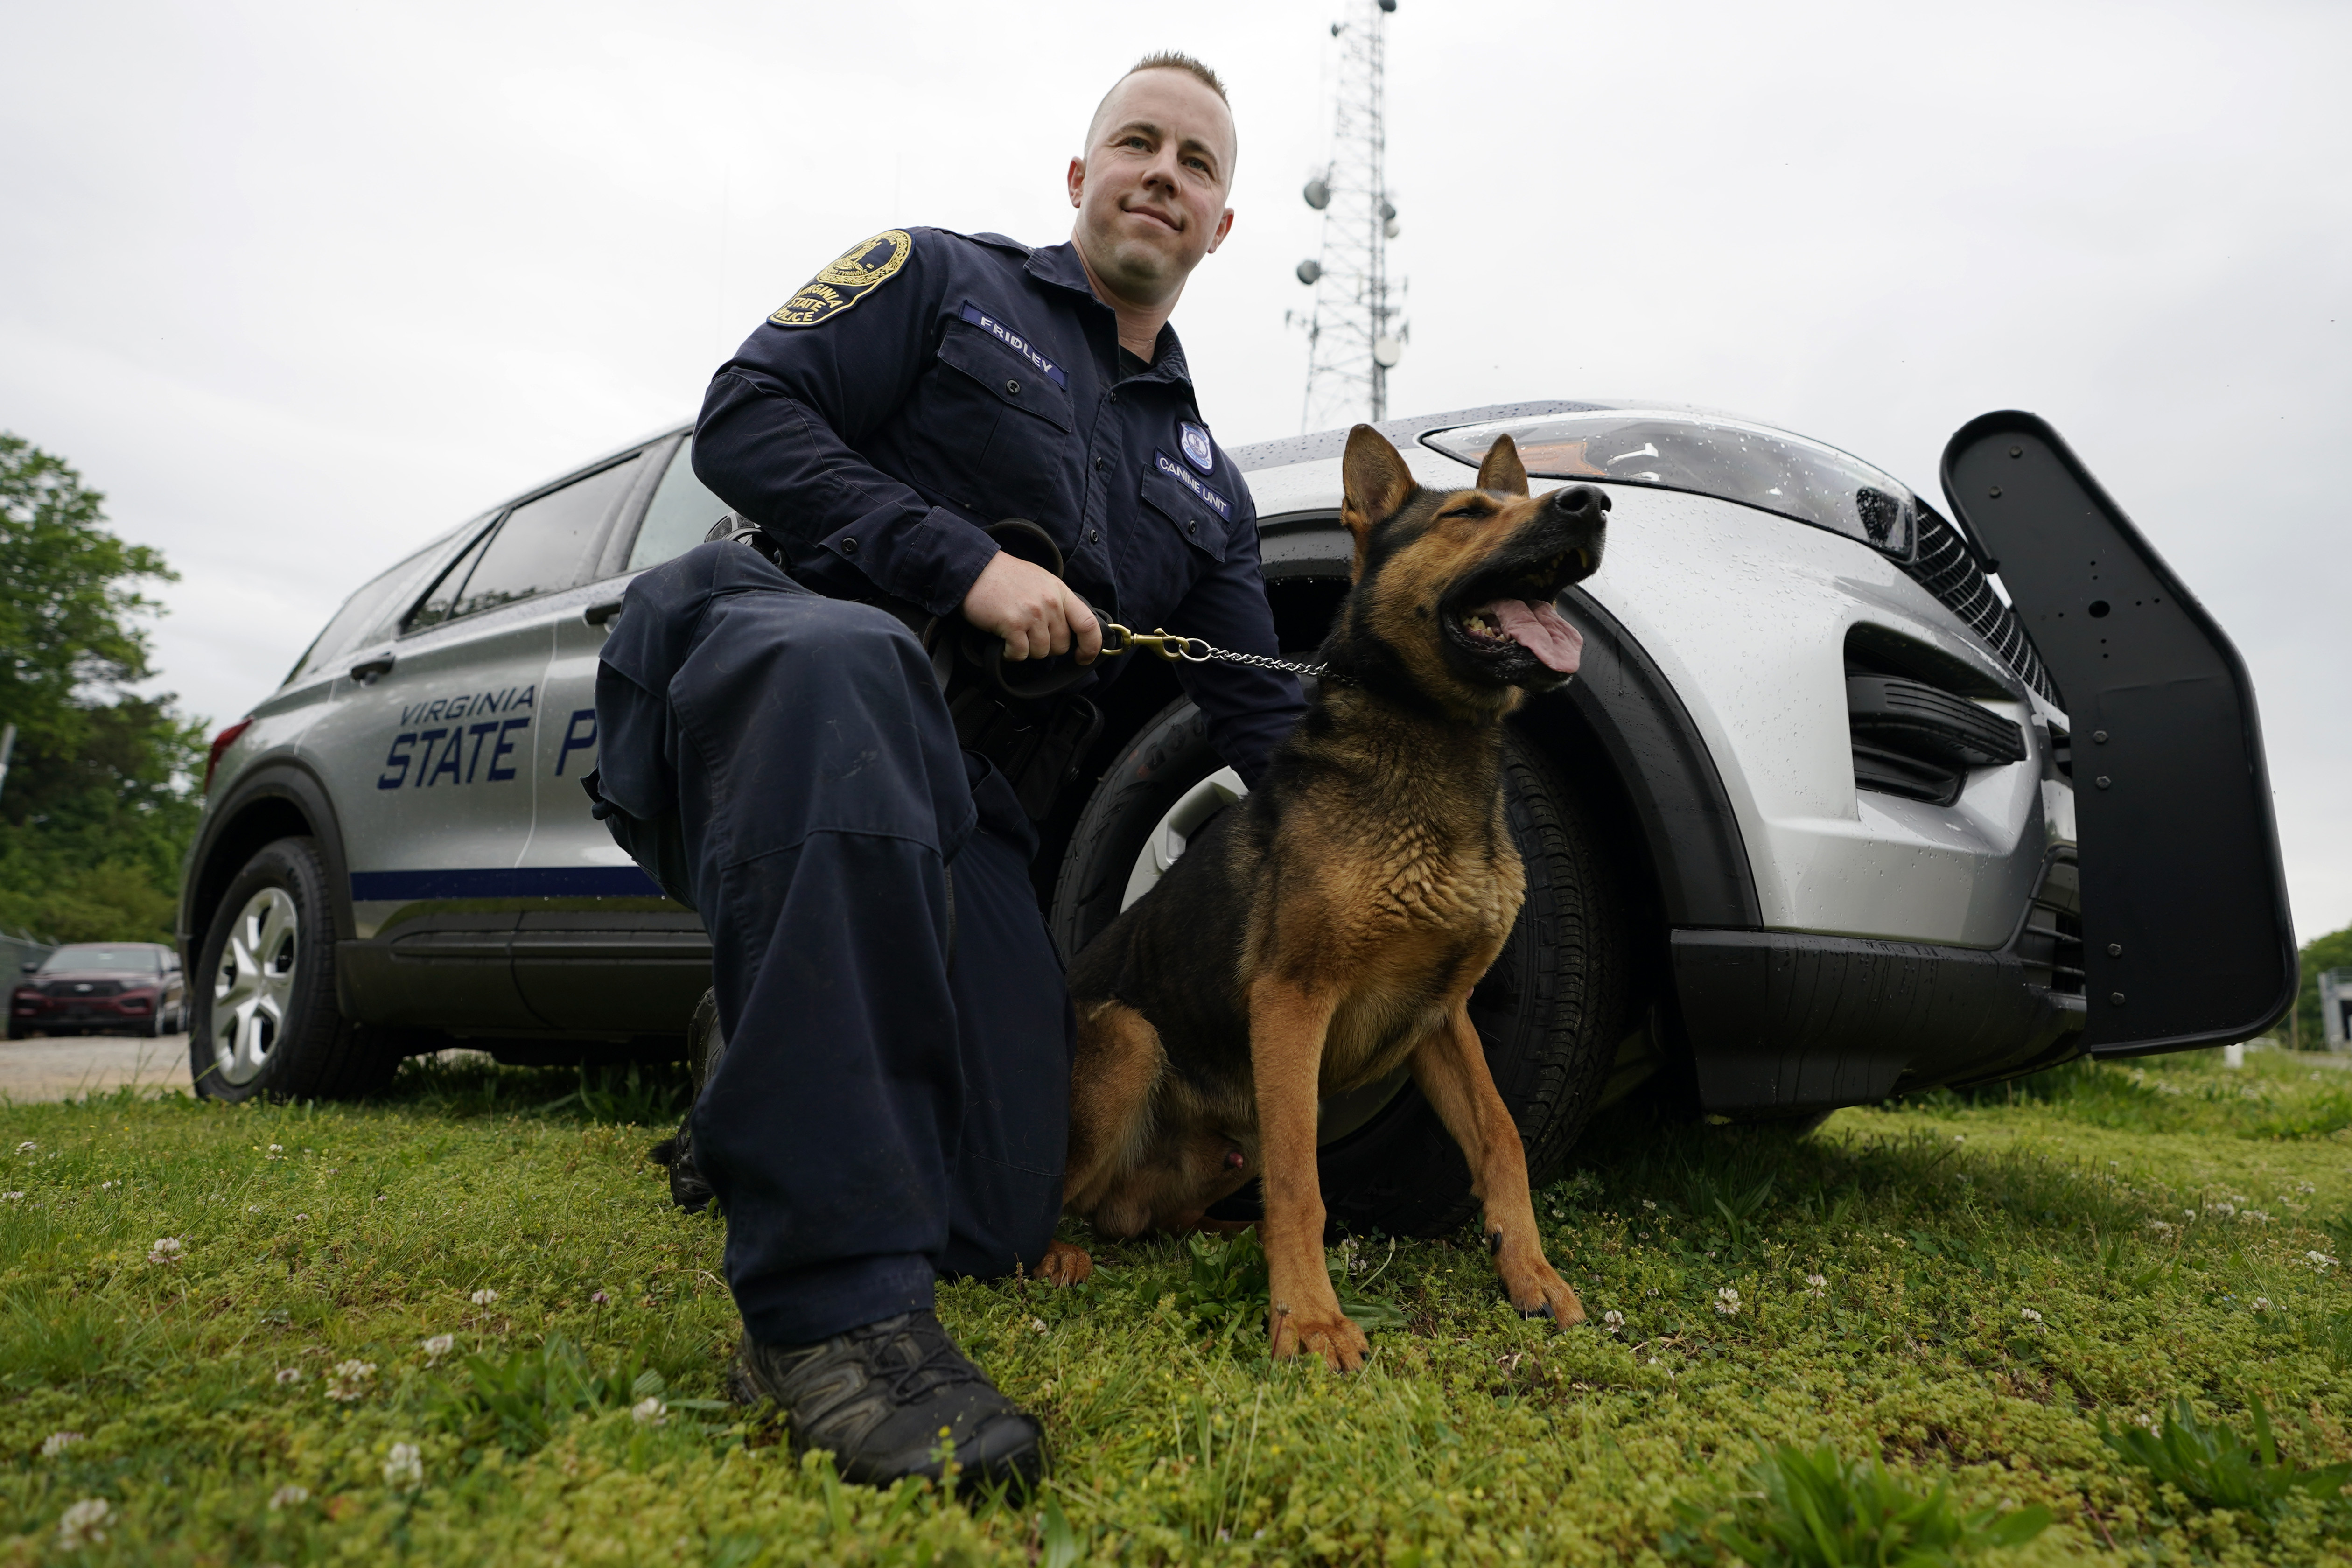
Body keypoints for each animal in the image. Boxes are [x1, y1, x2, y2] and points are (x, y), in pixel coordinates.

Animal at [1039, 423, 1609, 1363]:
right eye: (1466, 515)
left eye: (1512, 501)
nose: (1592, 503)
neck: (1436, 747)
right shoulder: (1292, 1000)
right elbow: (1302, 1173)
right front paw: (1307, 1319)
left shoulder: (1439, 1017)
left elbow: (1501, 1137)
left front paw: (1530, 1270)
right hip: (1129, 1041)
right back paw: (1053, 1252)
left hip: (1221, 1142)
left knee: (1155, 1216)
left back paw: (1231, 1234)